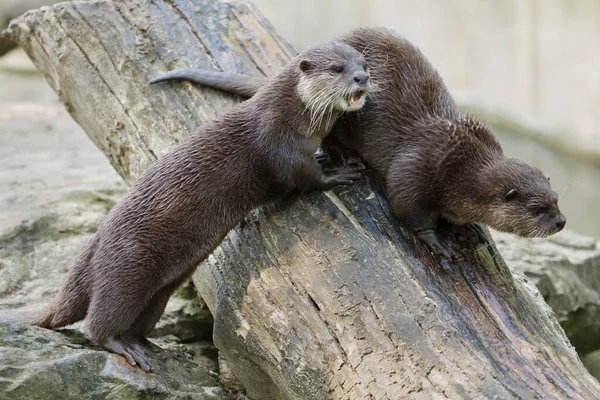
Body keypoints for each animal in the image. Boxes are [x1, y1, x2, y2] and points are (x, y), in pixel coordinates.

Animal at [34, 41, 370, 372]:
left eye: (364, 63)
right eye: (337, 68)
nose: (362, 78)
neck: (292, 113)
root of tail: (96, 239)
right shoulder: (280, 142)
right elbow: (305, 177)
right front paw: (338, 172)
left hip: (160, 288)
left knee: (141, 321)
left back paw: (160, 349)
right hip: (125, 269)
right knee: (100, 321)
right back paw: (124, 348)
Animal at [148, 28, 564, 260]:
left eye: (556, 198)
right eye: (537, 208)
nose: (560, 222)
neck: (461, 167)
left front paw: (469, 229)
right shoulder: (419, 167)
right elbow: (408, 207)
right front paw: (438, 241)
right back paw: (346, 160)